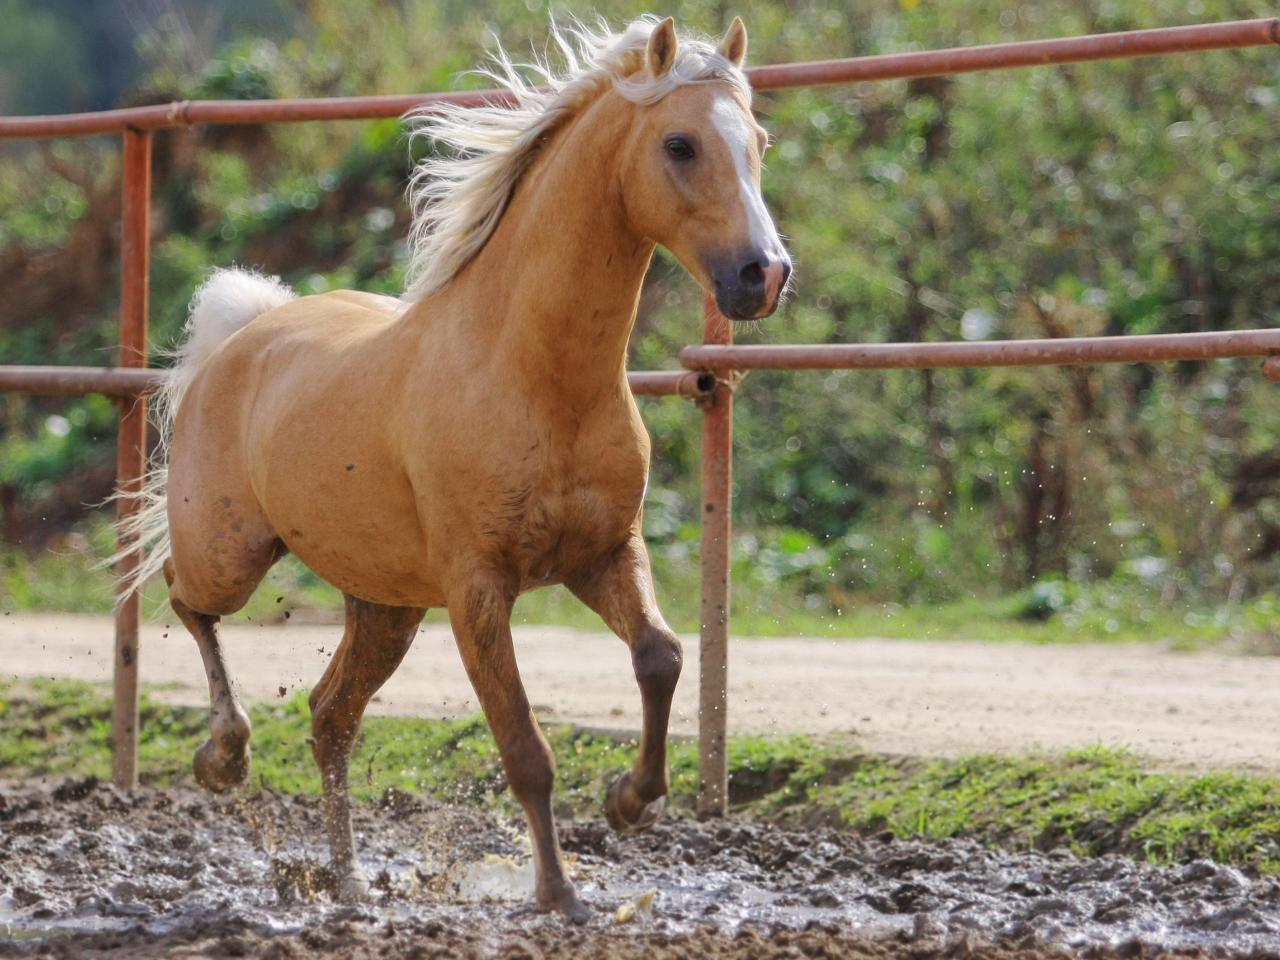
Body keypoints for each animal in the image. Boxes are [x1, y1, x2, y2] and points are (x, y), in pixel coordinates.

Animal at [115, 15, 788, 926]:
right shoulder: (478, 589)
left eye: (757, 141)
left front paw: (629, 801)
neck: (536, 375)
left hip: (387, 605)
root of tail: (245, 333)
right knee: (188, 600)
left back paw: (348, 881)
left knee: (330, 716)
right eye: (679, 144)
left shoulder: (604, 554)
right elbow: (526, 748)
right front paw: (558, 895)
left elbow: (662, 655)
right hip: (233, 553)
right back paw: (225, 756)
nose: (764, 274)